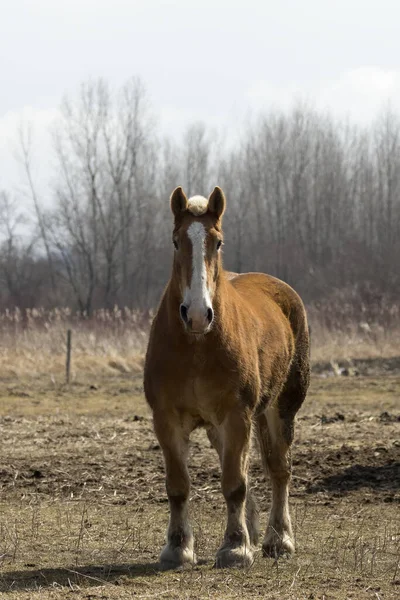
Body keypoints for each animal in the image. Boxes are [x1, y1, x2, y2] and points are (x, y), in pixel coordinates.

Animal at [144, 185, 310, 568]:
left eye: (217, 242)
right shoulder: (166, 419)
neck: (196, 346)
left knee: (278, 469)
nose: (196, 314)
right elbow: (178, 486)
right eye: (176, 241)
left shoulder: (237, 416)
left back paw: (279, 539)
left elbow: (235, 483)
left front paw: (235, 547)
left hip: (281, 409)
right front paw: (177, 548)